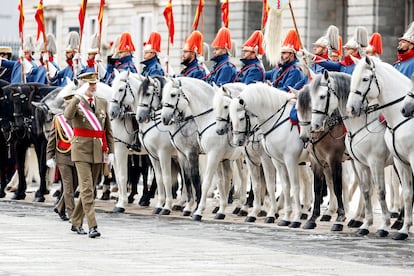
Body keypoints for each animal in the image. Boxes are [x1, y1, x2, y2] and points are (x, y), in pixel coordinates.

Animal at [161, 76, 246, 221]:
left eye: (172, 95)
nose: (164, 118)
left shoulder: (197, 154)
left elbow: (199, 179)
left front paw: (197, 209)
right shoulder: (185, 155)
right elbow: (190, 179)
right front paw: (189, 207)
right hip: (237, 158)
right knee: (241, 177)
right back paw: (236, 207)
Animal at [228, 83, 306, 227]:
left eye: (241, 118)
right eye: (231, 117)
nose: (238, 142)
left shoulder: (284, 160)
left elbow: (283, 186)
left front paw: (289, 217)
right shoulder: (269, 161)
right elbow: (264, 186)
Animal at [308, 71, 392, 237]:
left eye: (322, 96)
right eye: (310, 98)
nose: (315, 126)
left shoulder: (336, 159)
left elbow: (338, 186)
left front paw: (340, 218)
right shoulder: (318, 161)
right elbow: (318, 187)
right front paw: (313, 218)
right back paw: (358, 218)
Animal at [348, 55, 412, 239]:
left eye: (365, 79)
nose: (351, 108)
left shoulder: (376, 161)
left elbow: (380, 190)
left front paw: (384, 226)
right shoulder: (398, 161)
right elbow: (406, 192)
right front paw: (404, 230)